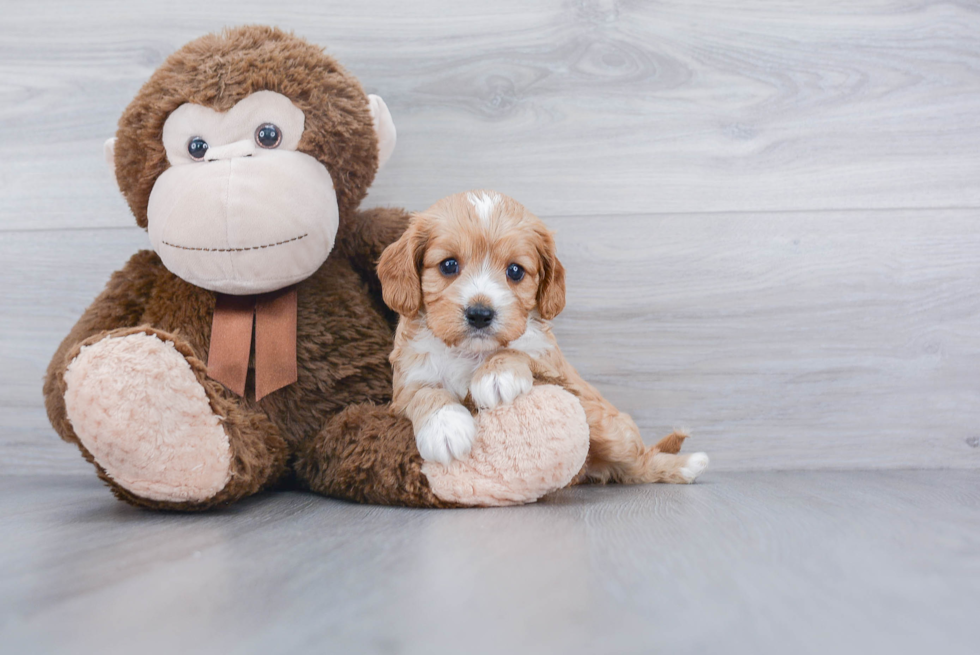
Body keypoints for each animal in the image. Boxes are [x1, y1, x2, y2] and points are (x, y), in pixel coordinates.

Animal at [378, 192, 708, 484]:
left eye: (515, 271)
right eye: (448, 265)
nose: (480, 314)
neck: (472, 352)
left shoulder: (554, 369)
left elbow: (521, 352)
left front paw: (497, 375)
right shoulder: (406, 383)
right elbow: (424, 393)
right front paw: (445, 427)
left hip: (609, 429)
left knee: (640, 462)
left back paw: (687, 465)